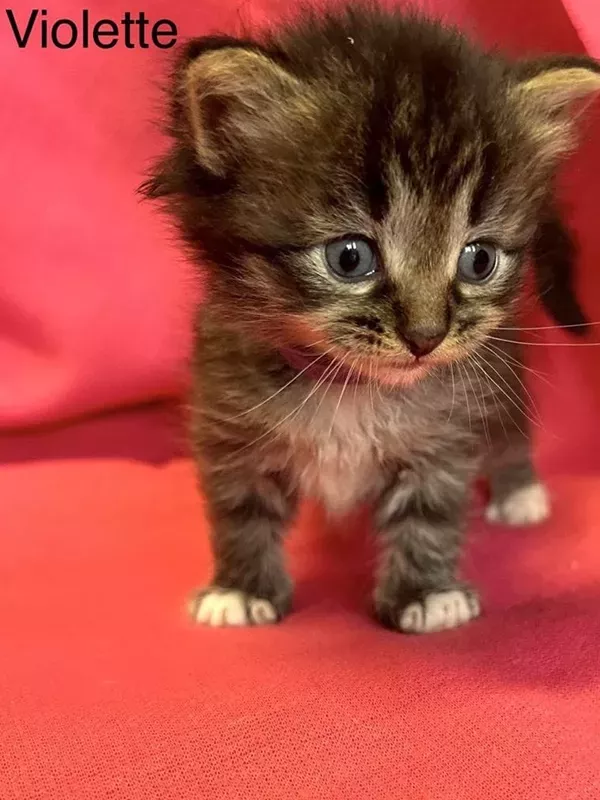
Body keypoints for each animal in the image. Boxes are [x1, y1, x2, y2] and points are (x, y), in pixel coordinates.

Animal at [142, 4, 600, 632]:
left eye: (478, 260)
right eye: (350, 257)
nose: (426, 337)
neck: (352, 386)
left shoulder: (445, 428)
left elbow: (430, 513)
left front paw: (425, 594)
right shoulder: (228, 417)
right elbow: (239, 509)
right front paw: (239, 587)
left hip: (500, 365)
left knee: (511, 425)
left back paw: (519, 492)